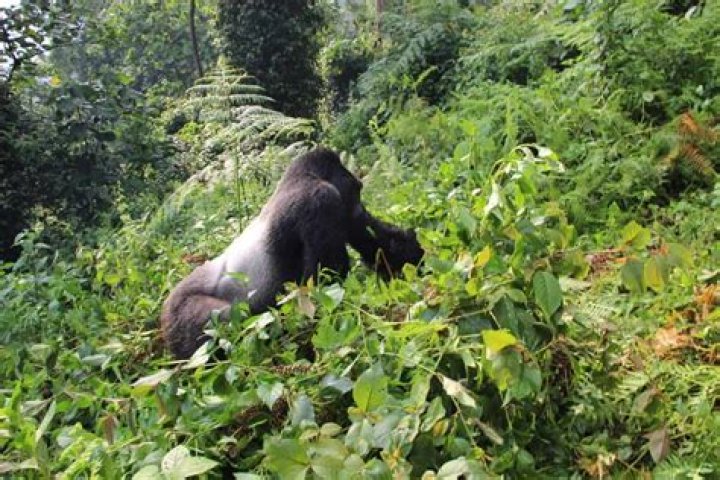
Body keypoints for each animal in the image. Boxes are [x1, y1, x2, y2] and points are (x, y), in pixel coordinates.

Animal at [161, 148, 423, 358]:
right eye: (356, 189)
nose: (360, 208)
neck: (305, 177)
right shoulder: (321, 200)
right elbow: (324, 282)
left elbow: (375, 245)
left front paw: (412, 255)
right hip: (179, 315)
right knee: (226, 319)